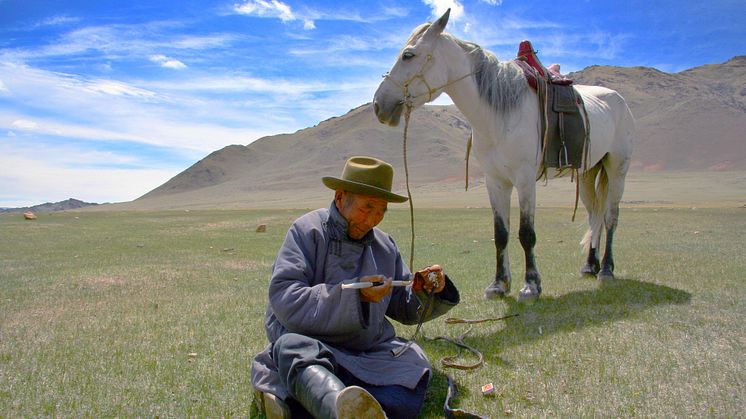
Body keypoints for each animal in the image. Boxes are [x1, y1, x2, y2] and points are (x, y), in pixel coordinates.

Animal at [372, 9, 632, 298]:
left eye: (408, 55)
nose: (378, 104)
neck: (498, 114)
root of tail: (619, 100)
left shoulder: (525, 179)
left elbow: (526, 233)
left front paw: (531, 285)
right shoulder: (495, 181)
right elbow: (501, 233)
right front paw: (498, 284)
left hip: (617, 170)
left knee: (610, 217)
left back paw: (606, 270)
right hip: (588, 173)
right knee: (593, 216)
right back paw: (590, 266)